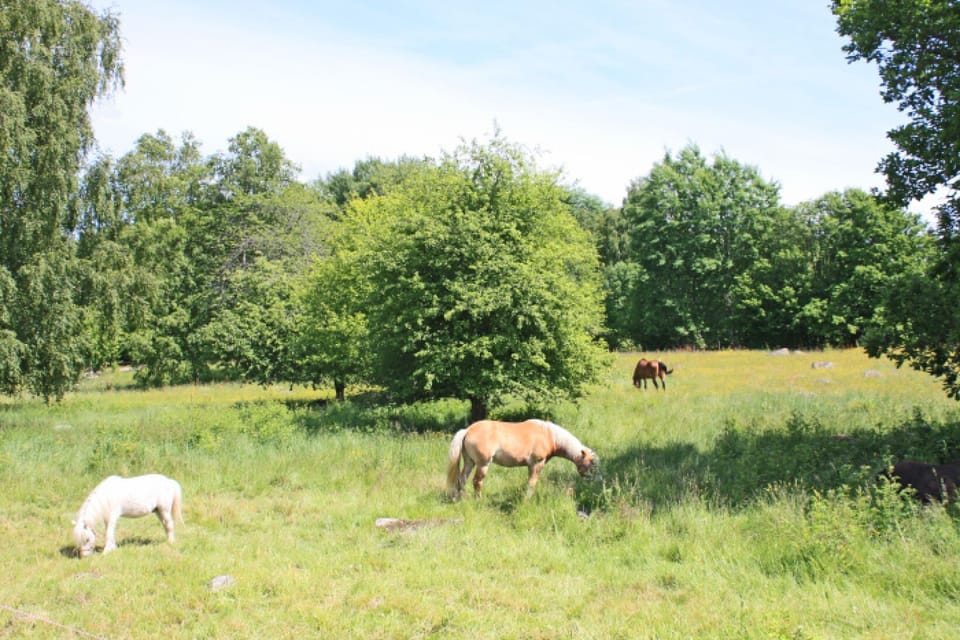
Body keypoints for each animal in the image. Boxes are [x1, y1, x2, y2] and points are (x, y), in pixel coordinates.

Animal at [446, 419, 598, 499]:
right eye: (591, 464)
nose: (595, 482)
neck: (550, 435)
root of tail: (467, 430)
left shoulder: (531, 466)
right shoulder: (537, 465)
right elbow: (532, 483)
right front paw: (527, 499)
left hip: (469, 462)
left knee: (462, 479)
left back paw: (460, 498)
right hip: (483, 464)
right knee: (477, 482)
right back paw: (478, 500)